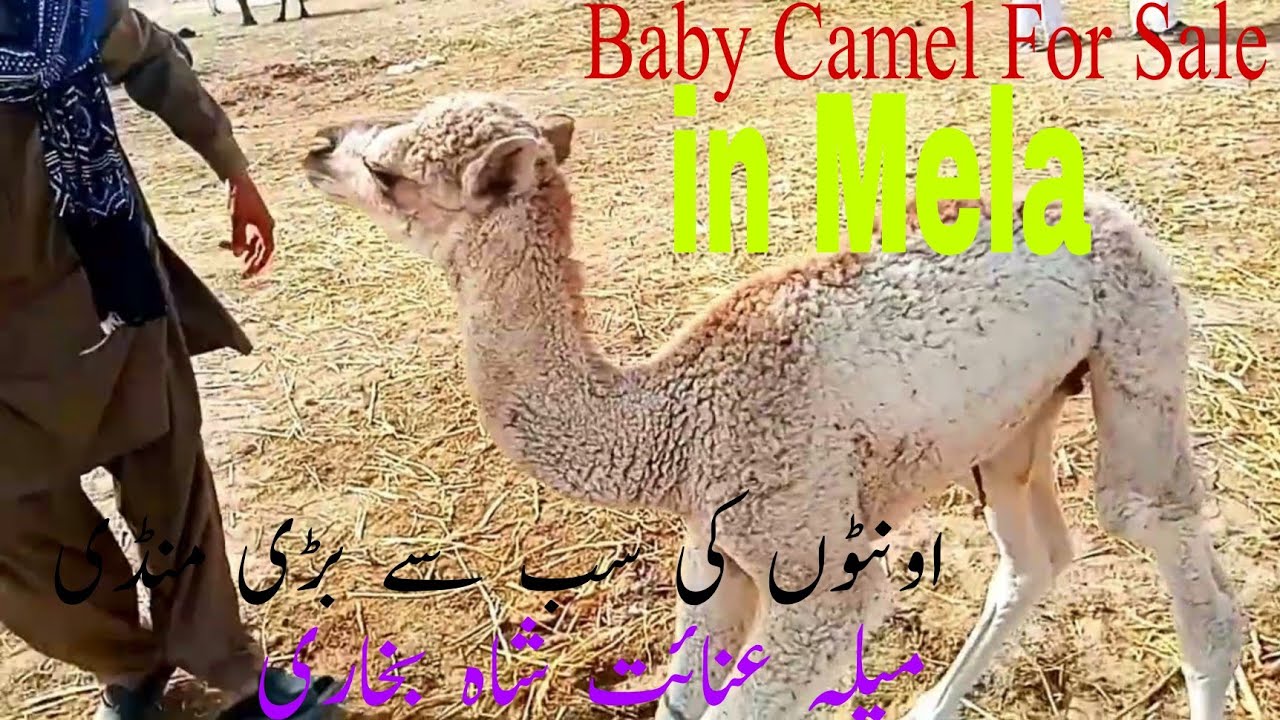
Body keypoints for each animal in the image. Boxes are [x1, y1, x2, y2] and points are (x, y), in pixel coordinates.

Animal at [299, 94, 1245, 720]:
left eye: (388, 171)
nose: (317, 146)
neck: (670, 423)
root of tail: (1112, 208)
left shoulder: (811, 558)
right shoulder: (717, 553)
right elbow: (684, 699)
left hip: (1139, 342)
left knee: (1154, 528)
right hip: (1017, 418)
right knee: (1035, 555)